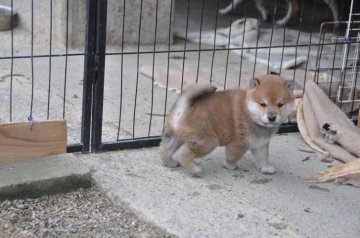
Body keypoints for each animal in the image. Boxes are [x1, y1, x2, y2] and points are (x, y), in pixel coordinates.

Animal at [160, 74, 296, 175]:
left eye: (280, 104)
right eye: (263, 104)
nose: (272, 117)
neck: (250, 112)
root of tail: (183, 108)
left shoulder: (260, 143)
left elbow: (262, 157)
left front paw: (265, 168)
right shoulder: (240, 143)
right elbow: (233, 157)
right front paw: (230, 166)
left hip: (175, 136)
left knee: (165, 150)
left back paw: (170, 163)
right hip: (208, 142)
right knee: (183, 153)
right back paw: (194, 169)